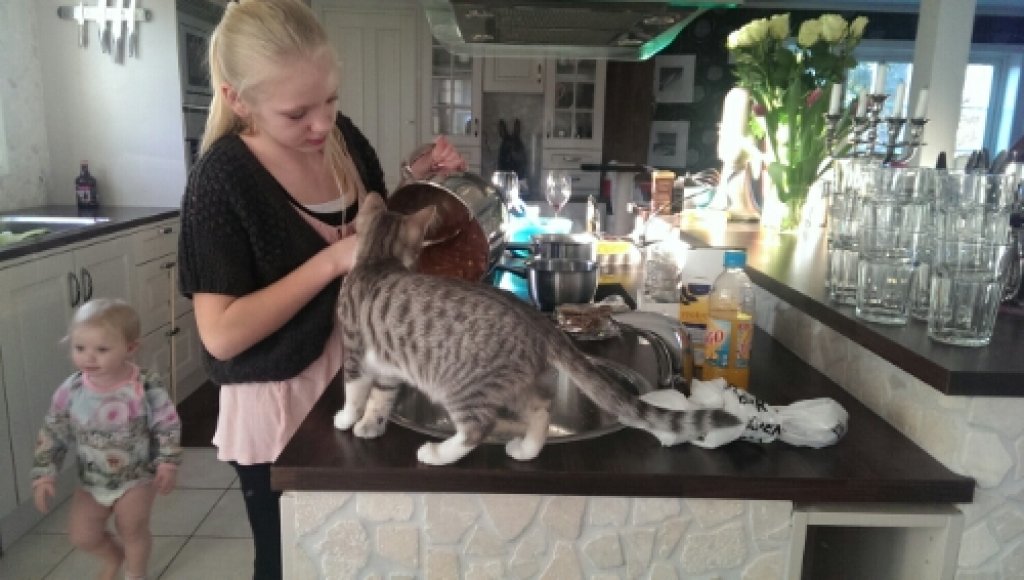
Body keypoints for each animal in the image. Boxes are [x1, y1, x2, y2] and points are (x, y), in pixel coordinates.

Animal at [334, 192, 740, 465]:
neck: (378, 261)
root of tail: (536, 321)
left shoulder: (353, 353)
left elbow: (355, 393)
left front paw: (347, 419)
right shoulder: (387, 368)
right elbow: (381, 398)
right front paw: (371, 424)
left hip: (464, 385)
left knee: (477, 428)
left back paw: (437, 452)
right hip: (517, 382)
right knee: (541, 411)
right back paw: (527, 449)